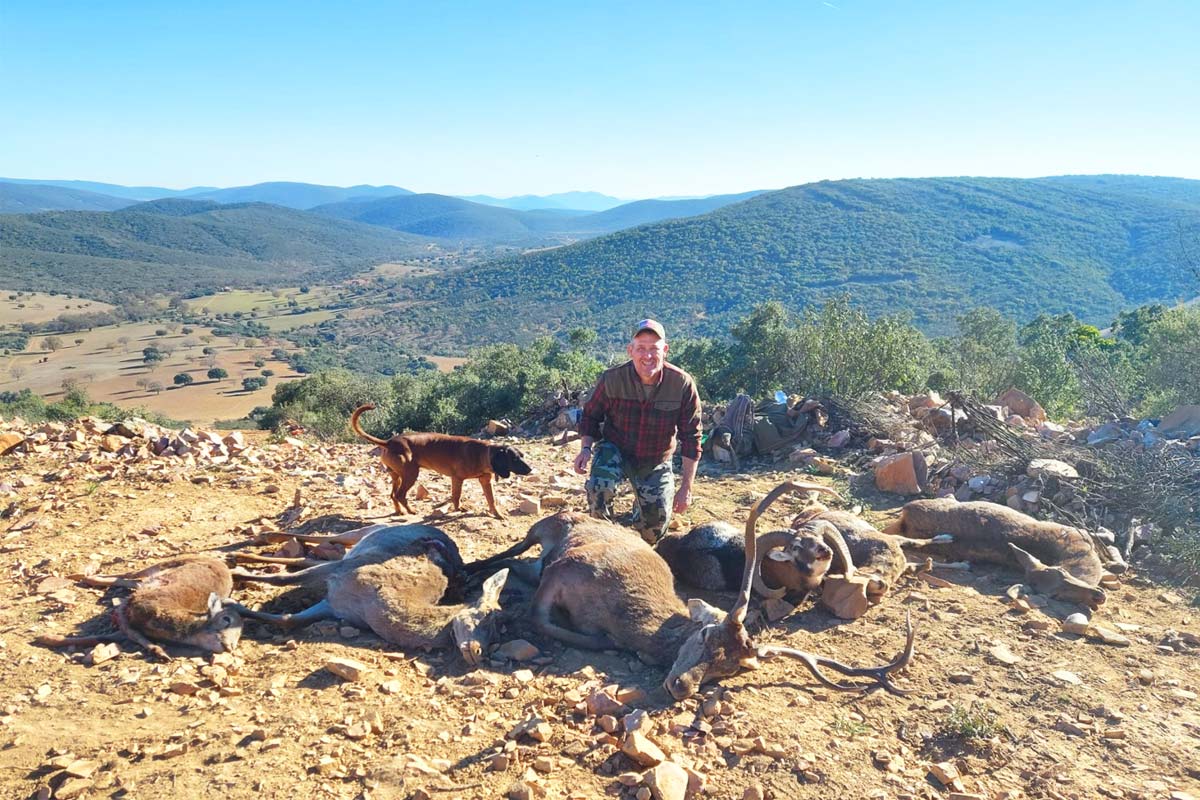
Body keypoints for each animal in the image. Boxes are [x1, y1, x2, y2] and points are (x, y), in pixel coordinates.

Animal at [350, 400, 532, 520]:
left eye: (522, 456)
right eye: (515, 459)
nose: (530, 470)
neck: (484, 454)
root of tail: (389, 442)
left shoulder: (485, 481)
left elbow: (491, 500)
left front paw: (497, 514)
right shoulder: (457, 479)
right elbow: (456, 496)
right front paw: (458, 509)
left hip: (396, 476)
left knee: (393, 495)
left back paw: (399, 511)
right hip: (410, 475)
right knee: (401, 495)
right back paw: (411, 511)